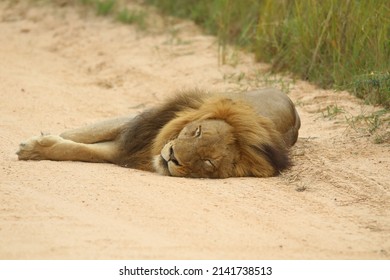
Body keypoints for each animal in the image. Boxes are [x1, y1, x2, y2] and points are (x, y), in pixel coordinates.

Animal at [16, 88, 302, 178]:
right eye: (197, 132)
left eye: (208, 162)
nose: (172, 156)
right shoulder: (139, 126)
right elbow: (82, 134)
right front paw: (34, 143)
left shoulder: (125, 150)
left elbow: (80, 149)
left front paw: (36, 148)